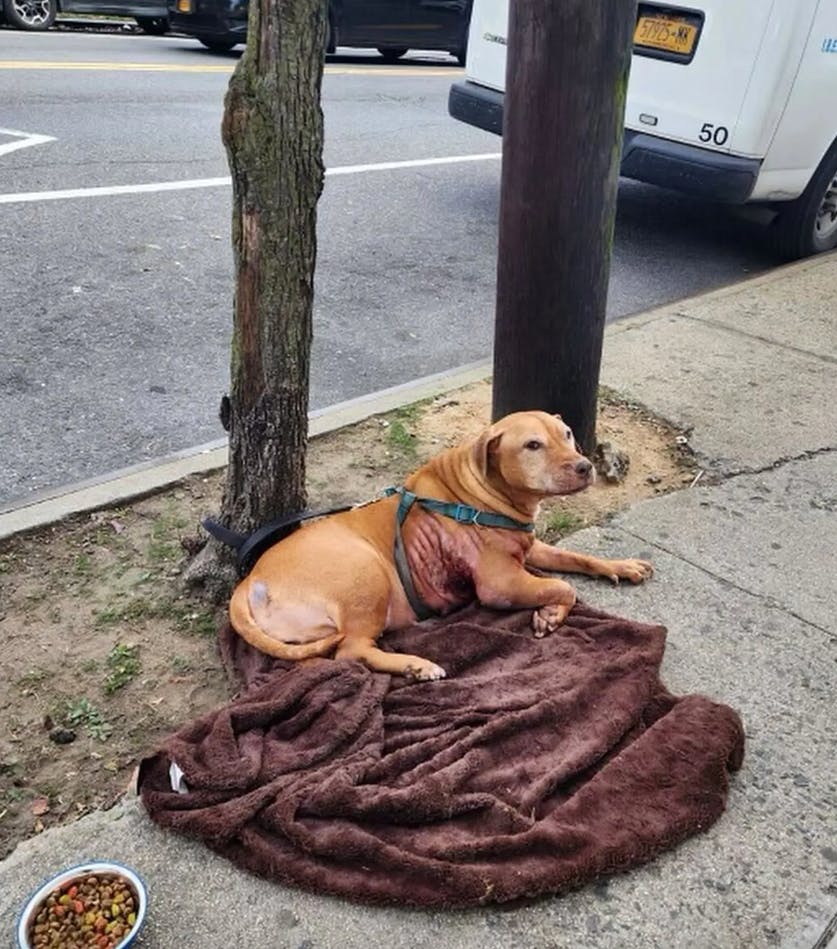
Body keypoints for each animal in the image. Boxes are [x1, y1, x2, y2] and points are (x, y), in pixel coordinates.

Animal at [229, 412, 652, 676]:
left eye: (566, 434)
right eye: (532, 445)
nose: (585, 466)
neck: (479, 494)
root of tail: (249, 582)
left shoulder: (531, 547)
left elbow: (576, 557)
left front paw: (620, 566)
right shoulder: (500, 584)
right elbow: (563, 586)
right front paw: (551, 613)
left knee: (322, 659)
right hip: (365, 573)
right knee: (351, 650)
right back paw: (417, 666)